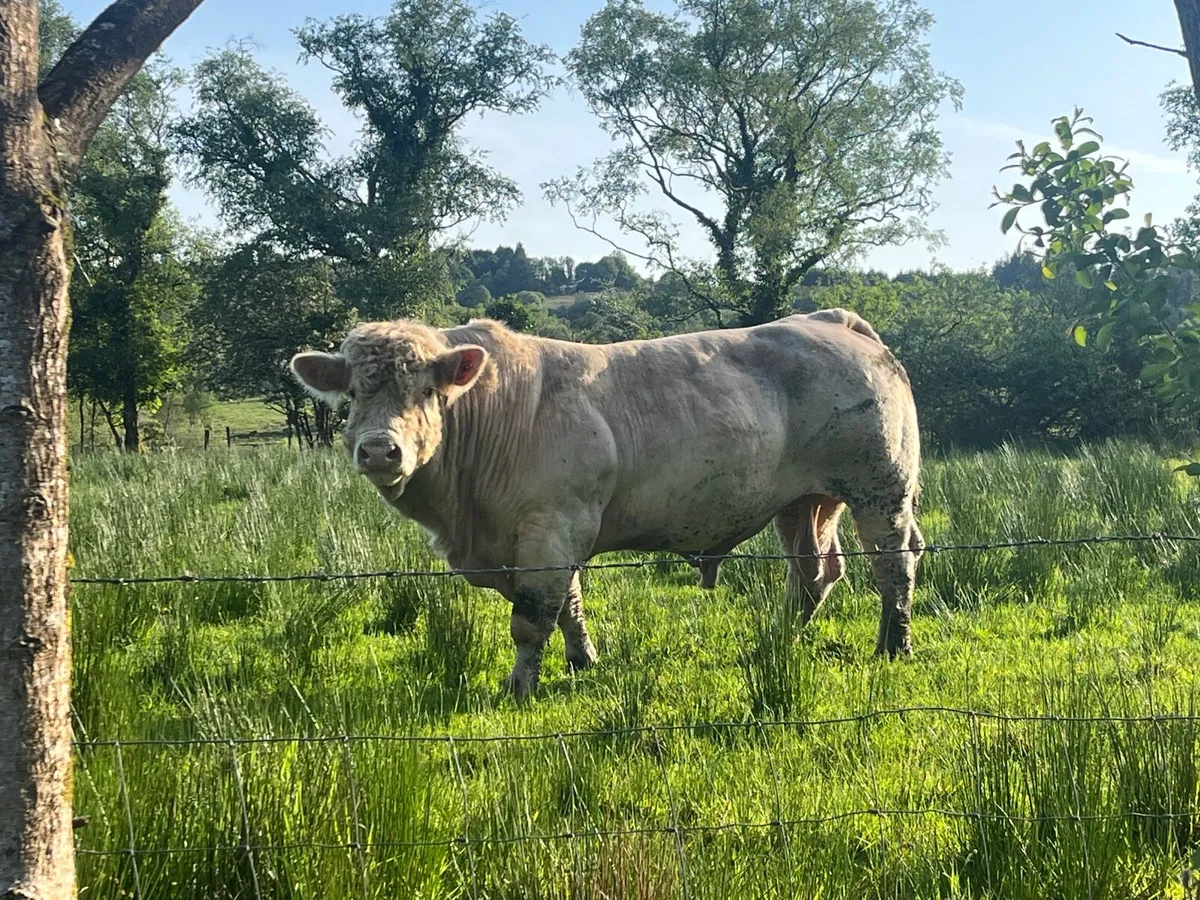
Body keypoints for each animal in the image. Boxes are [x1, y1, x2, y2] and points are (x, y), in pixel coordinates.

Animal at [290, 309, 924, 698]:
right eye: (352, 393)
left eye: (426, 390)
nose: (380, 449)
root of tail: (830, 319)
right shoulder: (552, 532)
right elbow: (569, 603)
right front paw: (582, 661)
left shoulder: (551, 527)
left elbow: (532, 617)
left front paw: (520, 688)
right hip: (804, 499)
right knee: (815, 569)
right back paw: (780, 639)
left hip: (880, 489)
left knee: (893, 565)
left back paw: (892, 644)